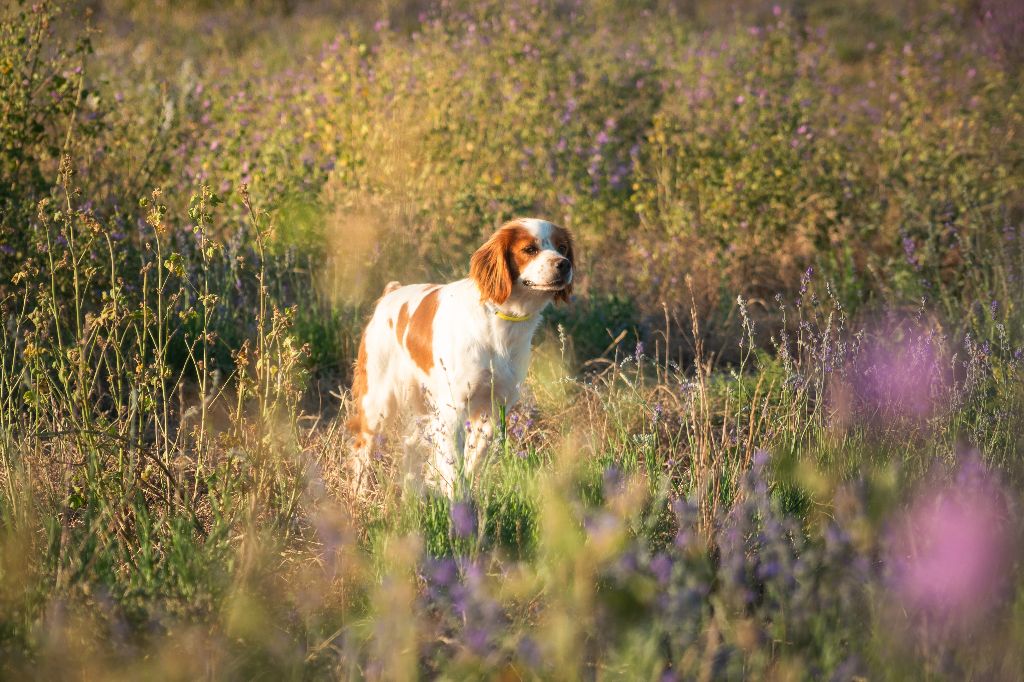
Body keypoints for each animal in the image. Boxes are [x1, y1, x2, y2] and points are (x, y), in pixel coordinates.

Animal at [350, 218, 577, 493]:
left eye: (563, 248)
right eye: (530, 249)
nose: (564, 264)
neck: (500, 323)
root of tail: (390, 294)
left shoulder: (494, 406)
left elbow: (473, 457)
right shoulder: (452, 408)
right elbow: (452, 463)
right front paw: (454, 496)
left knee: (410, 443)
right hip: (379, 402)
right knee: (363, 447)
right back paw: (360, 493)